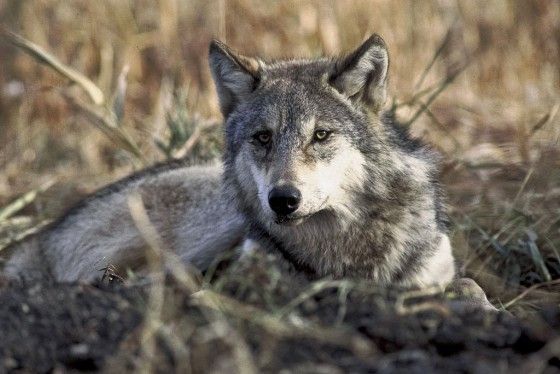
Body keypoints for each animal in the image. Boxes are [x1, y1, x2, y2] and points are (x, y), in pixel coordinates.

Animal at [2, 33, 458, 288]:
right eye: (263, 138)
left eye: (321, 135)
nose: (283, 200)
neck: (342, 249)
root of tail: (42, 238)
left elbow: (464, 285)